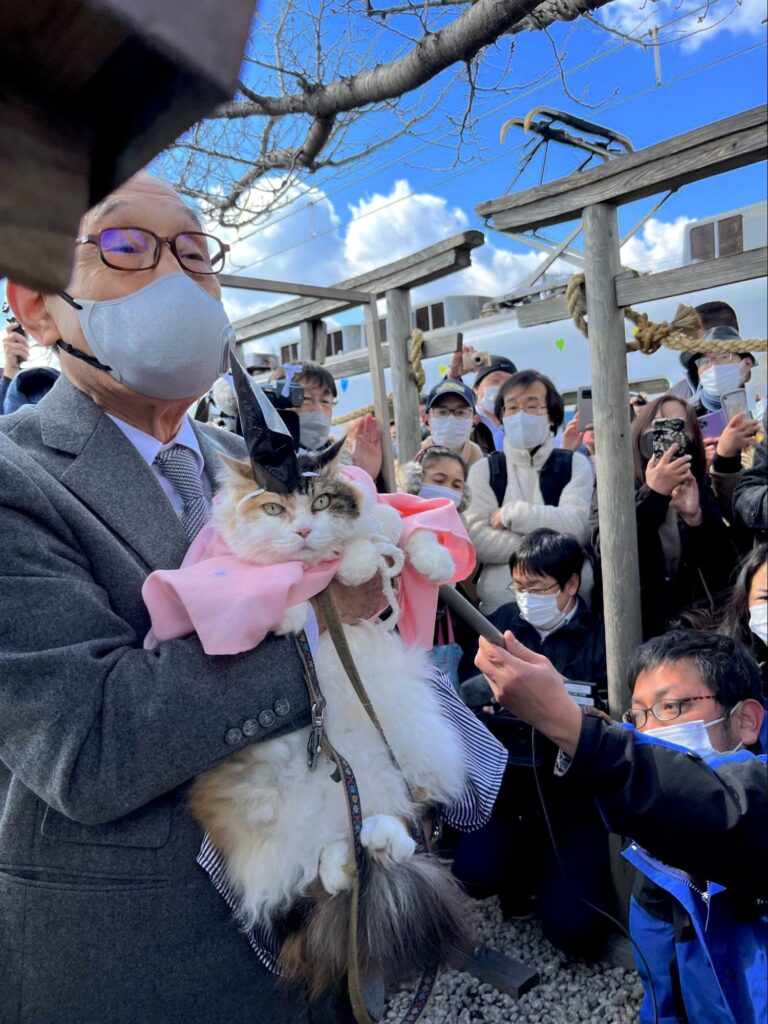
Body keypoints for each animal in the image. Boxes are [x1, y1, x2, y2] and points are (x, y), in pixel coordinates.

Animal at [189, 442, 473, 999]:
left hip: (404, 749)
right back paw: (352, 854)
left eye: (320, 501)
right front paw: (295, 612)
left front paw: (420, 563)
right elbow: (279, 600)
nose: (302, 530)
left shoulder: (389, 513)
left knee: (396, 835)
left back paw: (376, 841)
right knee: (331, 871)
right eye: (273, 509)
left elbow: (408, 533)